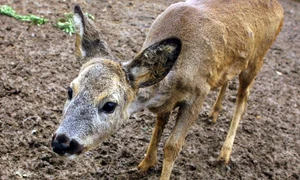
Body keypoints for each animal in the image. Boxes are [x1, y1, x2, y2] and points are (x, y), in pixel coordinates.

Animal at [51, 0, 284, 179]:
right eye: (70, 91)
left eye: (109, 105)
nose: (62, 142)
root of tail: (279, 6)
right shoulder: (168, 100)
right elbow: (159, 125)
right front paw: (144, 164)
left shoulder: (199, 92)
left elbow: (172, 146)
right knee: (228, 80)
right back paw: (214, 114)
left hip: (258, 57)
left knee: (243, 98)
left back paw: (224, 154)